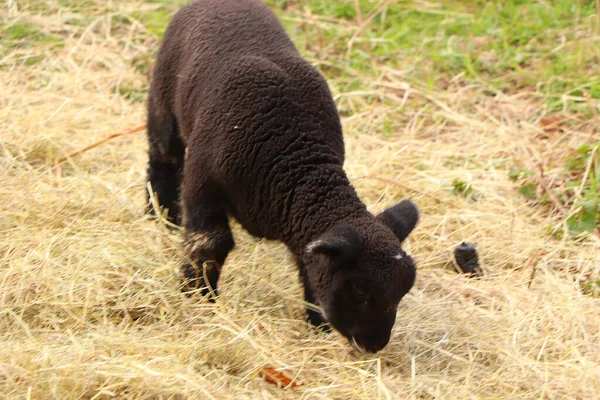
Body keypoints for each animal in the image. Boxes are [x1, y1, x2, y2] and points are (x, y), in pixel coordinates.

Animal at [146, 0, 418, 354]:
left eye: (402, 292)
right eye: (360, 291)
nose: (374, 344)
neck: (292, 162)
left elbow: (309, 266)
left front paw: (318, 325)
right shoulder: (203, 189)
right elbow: (209, 244)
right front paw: (198, 296)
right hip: (164, 102)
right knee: (161, 157)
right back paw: (160, 214)